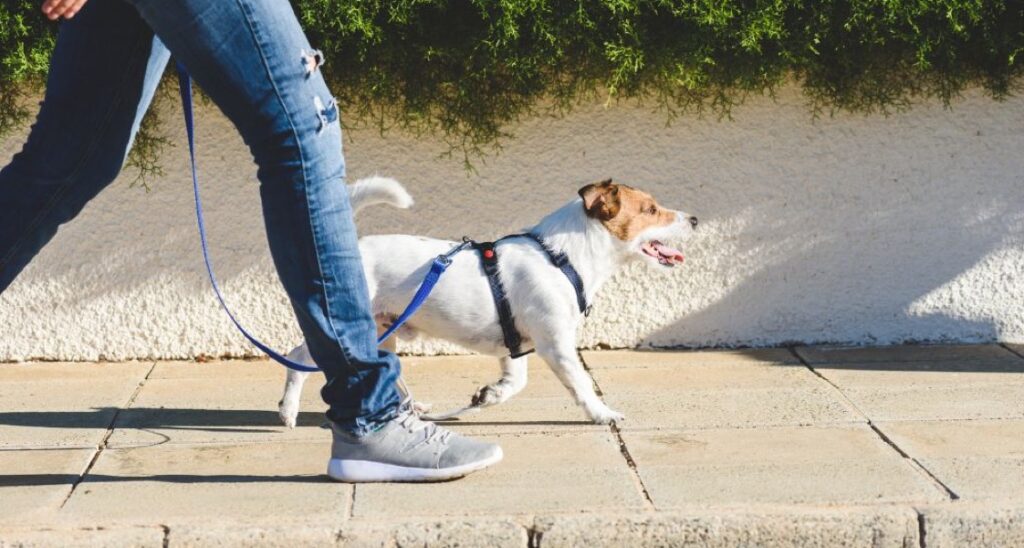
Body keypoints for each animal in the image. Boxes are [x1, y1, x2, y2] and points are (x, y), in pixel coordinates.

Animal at [278, 178, 696, 426]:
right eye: (650, 210)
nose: (694, 219)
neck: (562, 256)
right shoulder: (556, 345)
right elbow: (581, 384)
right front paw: (601, 413)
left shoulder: (516, 346)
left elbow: (515, 382)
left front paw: (489, 395)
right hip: (349, 330)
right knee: (298, 359)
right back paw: (288, 411)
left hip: (383, 332)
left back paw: (412, 409)